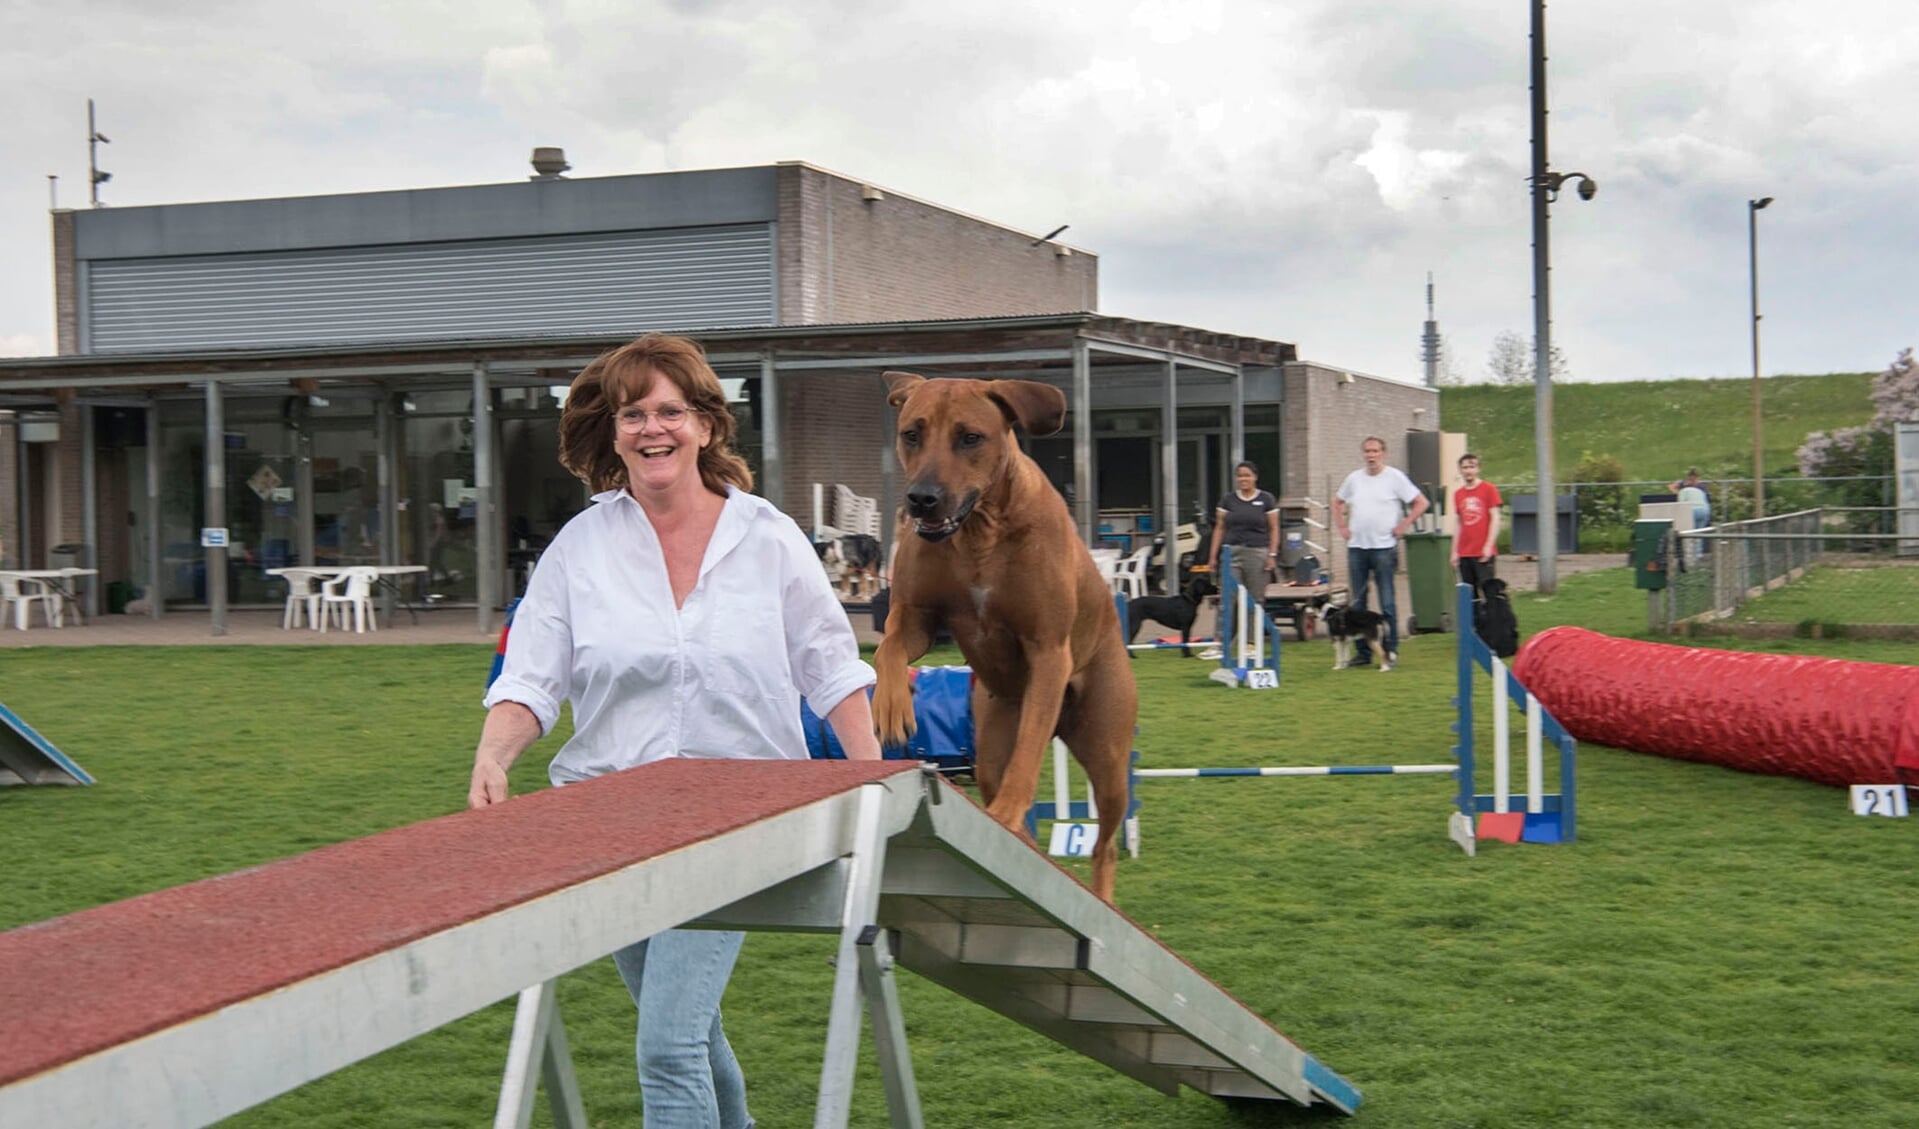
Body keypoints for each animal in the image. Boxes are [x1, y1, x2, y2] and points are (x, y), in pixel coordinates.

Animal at [875, 374, 1136, 902]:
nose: (922, 498)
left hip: (1108, 752)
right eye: (912, 433)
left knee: (1105, 842)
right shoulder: (915, 618)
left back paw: (1099, 893)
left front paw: (1010, 812)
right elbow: (889, 647)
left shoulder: (1048, 650)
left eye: (970, 437)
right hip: (992, 733)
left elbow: (1028, 755)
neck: (978, 530)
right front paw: (891, 707)